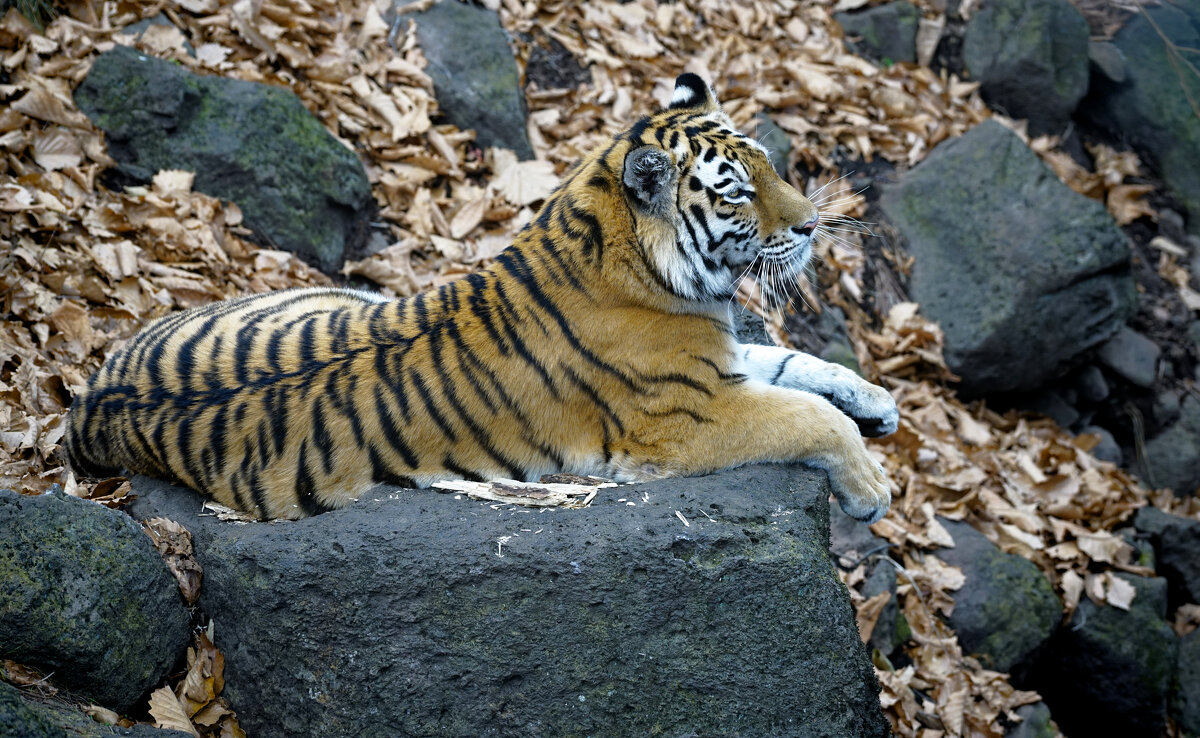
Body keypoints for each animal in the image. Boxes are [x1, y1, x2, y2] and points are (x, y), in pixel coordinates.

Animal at [60, 73, 897, 525]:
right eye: (736, 193)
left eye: (772, 164)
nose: (813, 224)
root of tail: (88, 402)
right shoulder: (693, 415)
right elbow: (807, 415)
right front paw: (870, 489)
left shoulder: (723, 362)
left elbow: (801, 365)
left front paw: (880, 406)